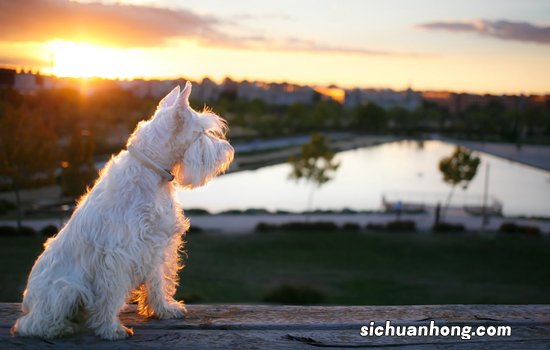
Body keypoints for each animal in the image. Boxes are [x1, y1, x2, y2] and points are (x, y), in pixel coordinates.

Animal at [11, 82, 234, 340]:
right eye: (201, 133)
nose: (228, 150)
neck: (152, 173)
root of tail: (27, 302)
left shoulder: (156, 246)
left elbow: (158, 282)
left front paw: (164, 309)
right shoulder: (118, 254)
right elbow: (110, 295)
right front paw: (110, 329)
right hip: (65, 288)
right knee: (32, 324)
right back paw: (60, 327)